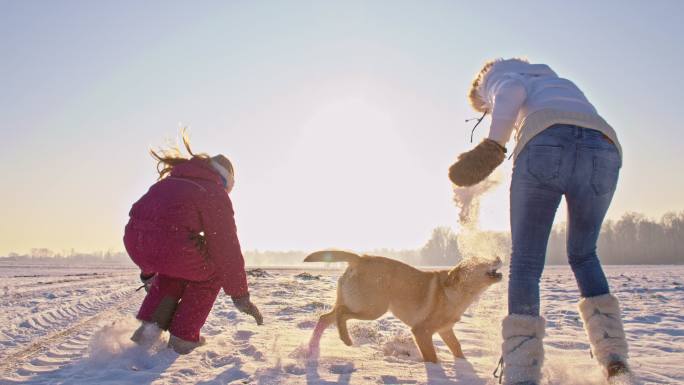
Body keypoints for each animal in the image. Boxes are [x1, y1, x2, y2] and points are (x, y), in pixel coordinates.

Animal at [306, 250, 502, 362]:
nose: (499, 257)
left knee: (324, 318)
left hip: (357, 303)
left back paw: (312, 348)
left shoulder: (446, 330)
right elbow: (432, 357)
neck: (459, 291)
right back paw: (345, 339)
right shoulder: (421, 331)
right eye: (480, 261)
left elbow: (458, 348)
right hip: (373, 308)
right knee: (341, 313)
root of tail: (361, 258)